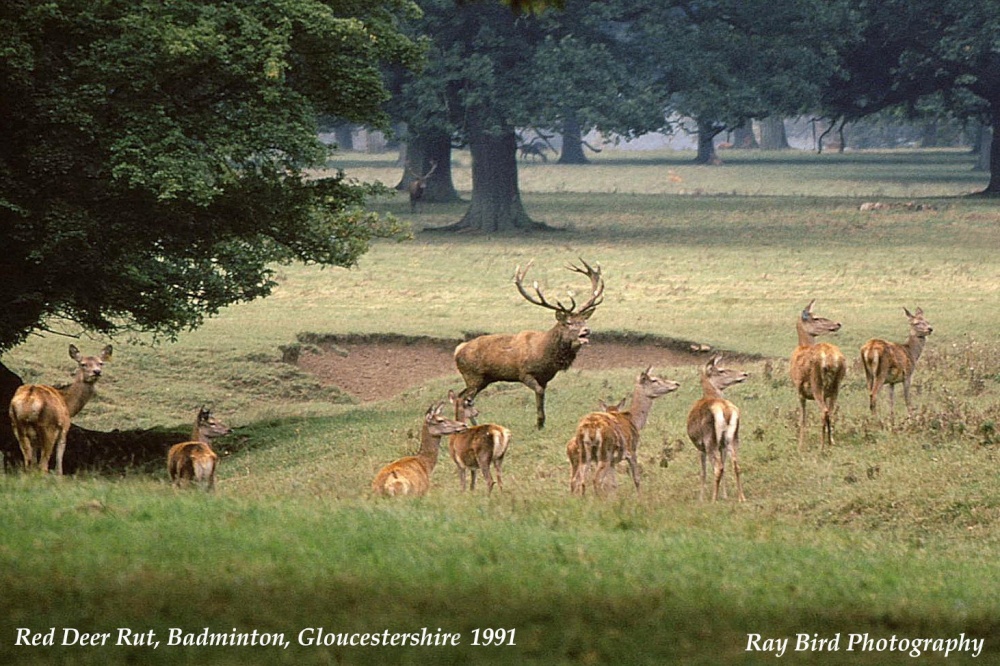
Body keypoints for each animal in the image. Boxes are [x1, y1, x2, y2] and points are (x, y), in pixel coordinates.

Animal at [8, 344, 112, 475]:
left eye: (101, 363)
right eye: (83, 364)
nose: (97, 372)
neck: (68, 405)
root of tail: (29, 399)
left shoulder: (34, 438)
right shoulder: (64, 428)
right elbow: (59, 462)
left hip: (17, 426)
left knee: (28, 463)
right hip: (48, 427)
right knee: (43, 465)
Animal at [454, 259, 604, 430]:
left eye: (584, 320)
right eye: (569, 322)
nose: (586, 330)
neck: (545, 355)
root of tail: (458, 350)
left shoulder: (545, 378)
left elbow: (542, 394)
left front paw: (542, 424)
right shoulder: (524, 373)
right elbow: (538, 391)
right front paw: (539, 423)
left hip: (483, 379)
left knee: (461, 396)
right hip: (473, 375)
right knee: (464, 398)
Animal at [569, 367, 680, 495]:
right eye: (654, 380)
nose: (676, 384)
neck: (635, 421)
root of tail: (590, 428)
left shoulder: (613, 461)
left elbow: (613, 484)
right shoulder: (632, 450)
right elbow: (636, 479)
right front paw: (639, 498)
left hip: (584, 454)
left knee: (579, 480)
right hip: (604, 452)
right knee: (596, 479)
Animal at [686, 355, 749, 502]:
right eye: (721, 370)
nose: (744, 374)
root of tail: (726, 410)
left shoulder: (700, 446)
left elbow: (703, 472)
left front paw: (701, 498)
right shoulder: (722, 446)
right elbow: (725, 467)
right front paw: (725, 495)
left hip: (710, 440)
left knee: (718, 467)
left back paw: (713, 499)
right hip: (732, 438)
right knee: (736, 464)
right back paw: (741, 497)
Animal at [790, 300, 846, 453]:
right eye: (815, 318)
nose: (838, 323)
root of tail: (831, 359)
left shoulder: (799, 390)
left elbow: (802, 419)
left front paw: (800, 446)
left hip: (816, 383)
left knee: (824, 412)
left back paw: (821, 446)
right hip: (836, 385)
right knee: (831, 412)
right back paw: (830, 443)